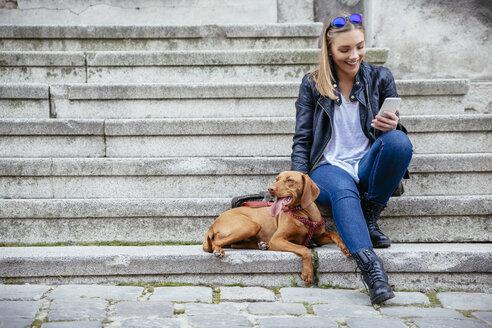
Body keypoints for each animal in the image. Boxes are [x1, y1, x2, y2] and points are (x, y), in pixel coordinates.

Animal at [202, 170, 348, 286]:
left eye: (290, 180)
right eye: (277, 179)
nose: (270, 188)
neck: (303, 213)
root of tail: (215, 222)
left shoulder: (319, 237)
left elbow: (334, 233)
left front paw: (345, 247)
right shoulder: (278, 239)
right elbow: (304, 249)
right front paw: (308, 273)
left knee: (234, 244)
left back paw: (263, 245)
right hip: (251, 226)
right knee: (216, 243)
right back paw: (219, 250)